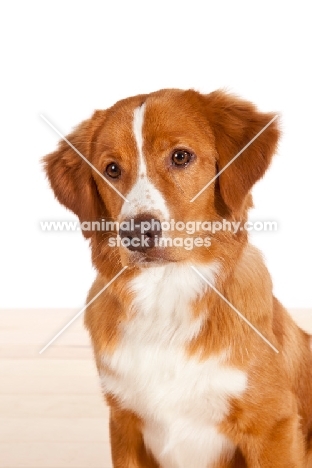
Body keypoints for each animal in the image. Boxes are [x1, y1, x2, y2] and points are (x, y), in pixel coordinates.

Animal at [44, 88, 312, 468]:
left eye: (181, 156)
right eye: (112, 169)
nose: (137, 232)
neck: (165, 296)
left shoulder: (271, 425)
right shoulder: (125, 425)